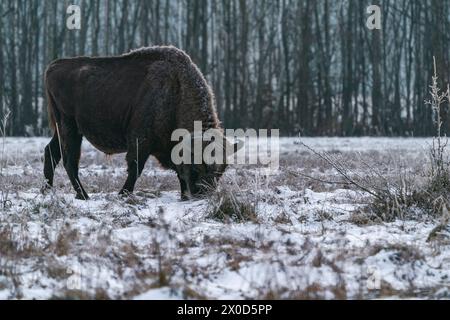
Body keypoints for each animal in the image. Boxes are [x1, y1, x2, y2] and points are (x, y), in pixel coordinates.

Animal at [43, 45, 236, 200]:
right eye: (198, 164)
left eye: (222, 170)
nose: (204, 194)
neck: (176, 92)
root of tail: (54, 66)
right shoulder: (140, 140)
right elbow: (136, 168)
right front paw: (123, 194)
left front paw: (183, 196)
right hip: (69, 126)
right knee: (69, 161)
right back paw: (83, 195)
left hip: (63, 130)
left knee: (51, 152)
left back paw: (47, 190)